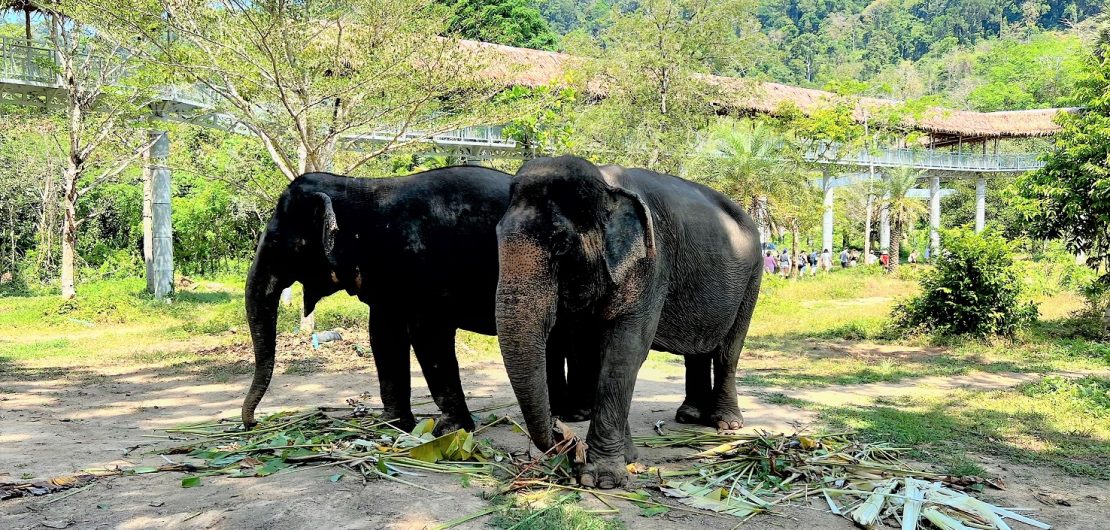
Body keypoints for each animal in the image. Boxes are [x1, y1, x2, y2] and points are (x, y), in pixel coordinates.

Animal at [497, 154, 763, 488]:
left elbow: (626, 348)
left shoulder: (651, 263)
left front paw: (602, 479)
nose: (564, 439)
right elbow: (589, 350)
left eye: (561, 245)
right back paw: (689, 416)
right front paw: (627, 458)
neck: (606, 185)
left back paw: (727, 424)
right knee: (697, 350)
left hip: (753, 276)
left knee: (728, 351)